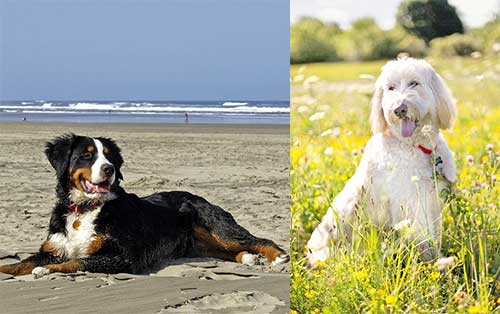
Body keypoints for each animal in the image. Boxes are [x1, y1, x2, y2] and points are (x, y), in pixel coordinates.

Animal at [0, 134, 290, 278]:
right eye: (87, 156)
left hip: (219, 228)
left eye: (110, 157)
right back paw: (249, 258)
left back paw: (277, 257)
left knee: (257, 239)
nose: (109, 169)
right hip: (200, 245)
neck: (85, 209)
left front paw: (46, 270)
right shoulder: (53, 248)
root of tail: (199, 196)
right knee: (231, 251)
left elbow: (78, 261)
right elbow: (21, 262)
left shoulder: (122, 256)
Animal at [304, 58, 458, 264]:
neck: (414, 145)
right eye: (391, 88)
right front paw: (434, 262)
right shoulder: (412, 201)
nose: (399, 109)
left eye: (414, 83)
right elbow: (423, 238)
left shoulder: (431, 200)